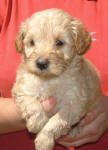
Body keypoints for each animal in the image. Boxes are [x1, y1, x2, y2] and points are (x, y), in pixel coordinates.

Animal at [12, 8, 101, 150]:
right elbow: (32, 104)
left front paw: (43, 141)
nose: (41, 63)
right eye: (31, 42)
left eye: (59, 42)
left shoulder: (74, 102)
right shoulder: (22, 88)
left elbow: (57, 121)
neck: (49, 80)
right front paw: (36, 123)